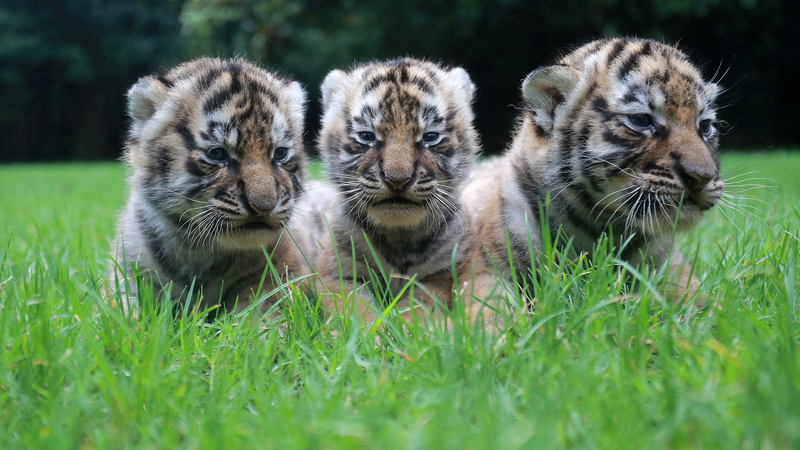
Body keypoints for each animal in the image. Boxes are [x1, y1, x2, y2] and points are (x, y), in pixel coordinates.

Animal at [111, 57, 316, 315]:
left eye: (279, 154)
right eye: (217, 153)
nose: (263, 208)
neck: (199, 250)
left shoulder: (276, 280)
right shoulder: (129, 278)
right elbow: (124, 318)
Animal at [313, 57, 480, 322]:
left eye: (430, 137)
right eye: (367, 136)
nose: (398, 180)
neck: (399, 237)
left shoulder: (437, 277)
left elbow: (415, 310)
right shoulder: (338, 274)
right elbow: (356, 311)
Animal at [462, 37, 724, 313]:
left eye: (705, 126)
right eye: (641, 120)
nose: (702, 177)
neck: (601, 226)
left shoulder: (670, 266)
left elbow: (701, 298)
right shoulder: (485, 266)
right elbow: (486, 310)